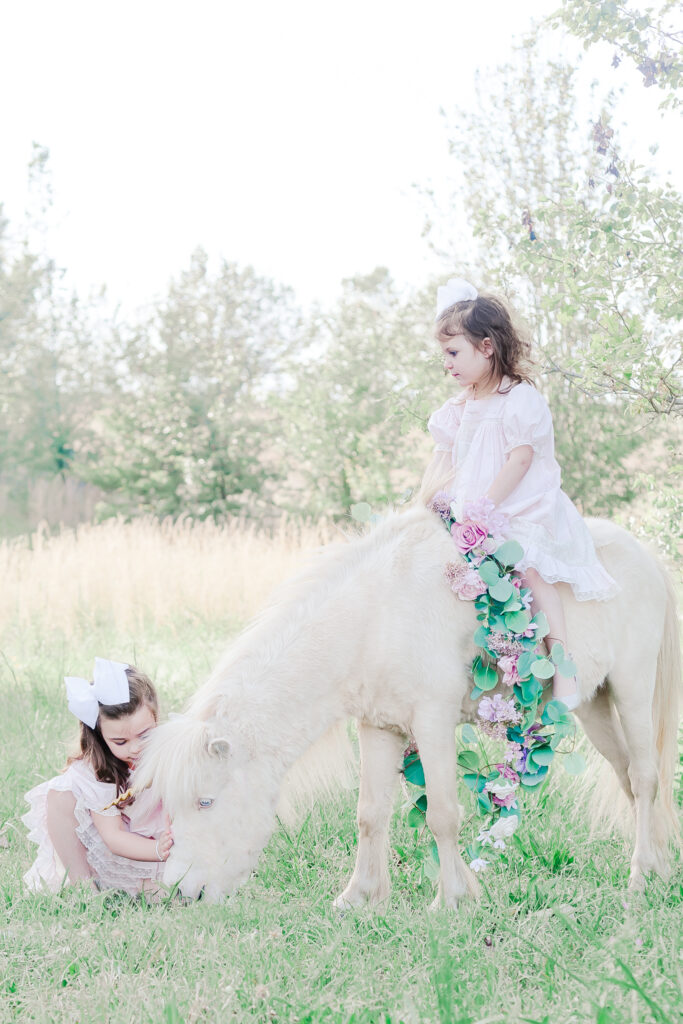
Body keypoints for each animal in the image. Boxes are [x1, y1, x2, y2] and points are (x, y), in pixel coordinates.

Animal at [136, 507, 679, 909]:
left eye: (205, 802)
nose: (179, 891)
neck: (375, 617)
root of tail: (647, 557)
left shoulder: (432, 723)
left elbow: (442, 814)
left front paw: (453, 898)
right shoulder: (380, 728)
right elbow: (370, 814)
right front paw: (359, 897)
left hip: (631, 689)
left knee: (645, 778)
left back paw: (638, 880)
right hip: (593, 706)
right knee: (629, 779)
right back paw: (656, 866)